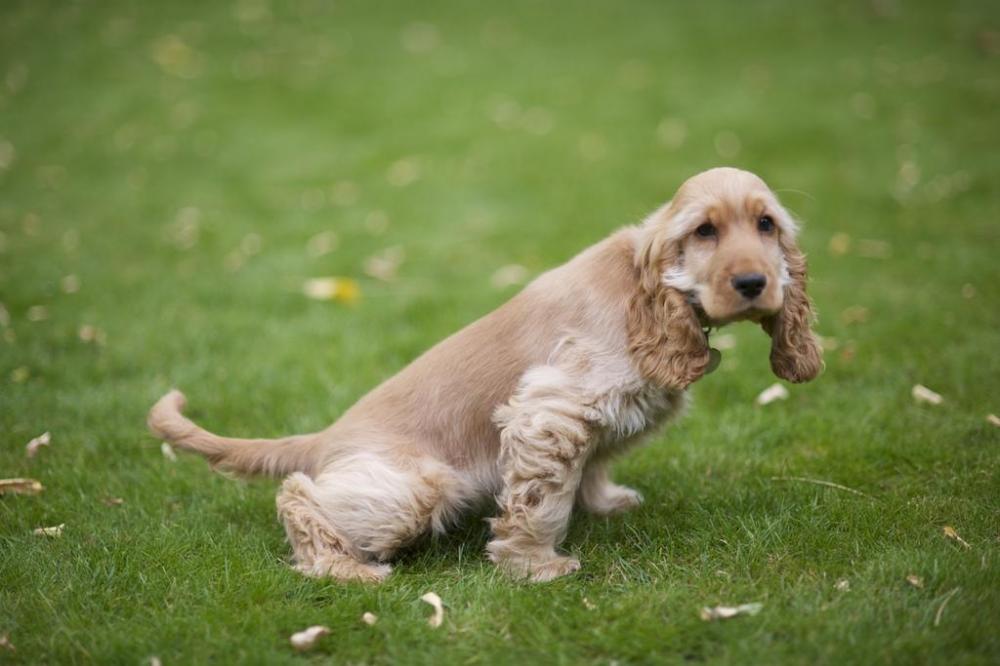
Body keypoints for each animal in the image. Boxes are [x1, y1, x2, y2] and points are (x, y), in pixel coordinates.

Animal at [148, 166, 820, 580]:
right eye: (705, 230)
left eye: (766, 225)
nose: (754, 283)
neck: (648, 292)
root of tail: (324, 439)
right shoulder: (550, 410)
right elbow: (541, 500)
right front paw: (537, 566)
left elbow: (593, 465)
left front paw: (605, 503)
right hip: (418, 486)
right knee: (298, 497)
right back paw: (347, 569)